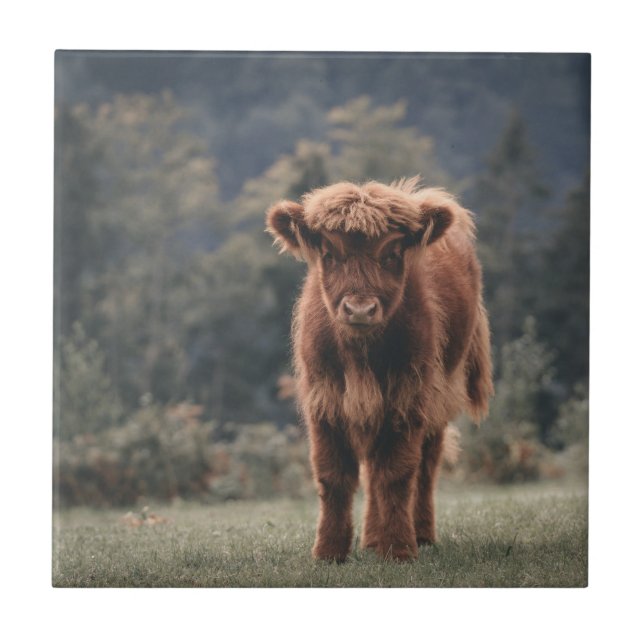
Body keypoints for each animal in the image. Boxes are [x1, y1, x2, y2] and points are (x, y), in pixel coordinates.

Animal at [266, 178, 493, 562]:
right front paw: (328, 552)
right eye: (329, 254)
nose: (359, 309)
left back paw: (420, 535)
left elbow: (397, 474)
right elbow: (333, 475)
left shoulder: (408, 396)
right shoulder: (324, 399)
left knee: (426, 466)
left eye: (391, 254)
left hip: (440, 394)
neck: (361, 355)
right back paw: (372, 539)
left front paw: (400, 548)